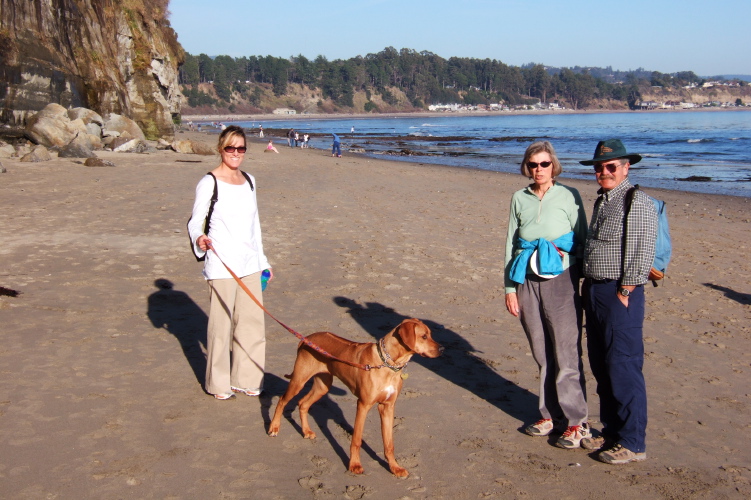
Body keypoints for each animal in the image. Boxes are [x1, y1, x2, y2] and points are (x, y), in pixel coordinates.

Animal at [268, 318, 444, 478]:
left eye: (430, 335)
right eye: (423, 336)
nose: (442, 349)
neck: (387, 364)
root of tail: (306, 339)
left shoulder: (387, 406)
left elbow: (389, 443)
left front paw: (395, 468)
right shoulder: (363, 405)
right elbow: (357, 440)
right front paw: (355, 465)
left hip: (323, 386)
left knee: (303, 403)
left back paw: (306, 431)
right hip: (299, 380)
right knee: (282, 400)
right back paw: (274, 428)